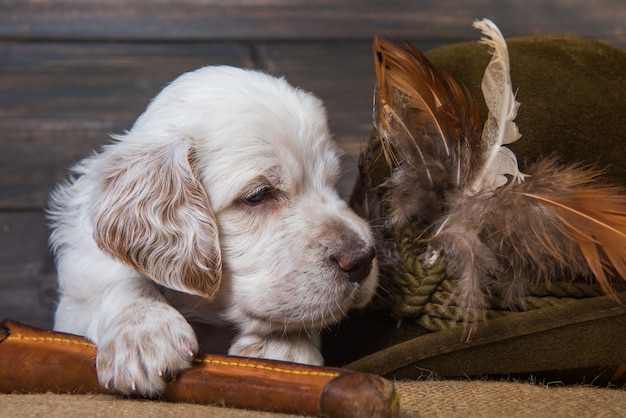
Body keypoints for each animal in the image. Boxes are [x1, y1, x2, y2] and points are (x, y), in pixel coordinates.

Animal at [47, 65, 376, 396]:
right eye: (258, 195)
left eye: (333, 183)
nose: (363, 259)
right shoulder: (74, 302)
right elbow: (120, 282)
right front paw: (144, 335)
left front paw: (283, 347)